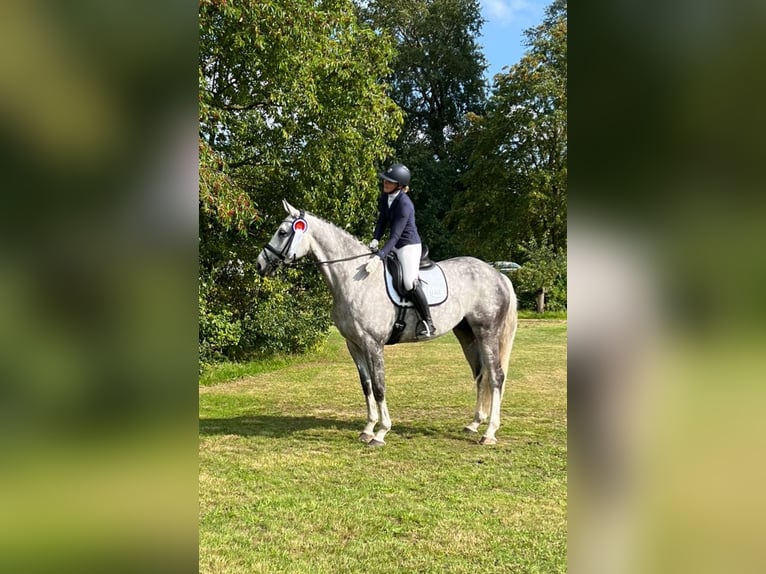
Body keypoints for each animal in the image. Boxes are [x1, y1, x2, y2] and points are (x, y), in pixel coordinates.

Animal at [255, 200, 520, 448]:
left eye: (282, 232)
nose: (260, 264)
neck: (355, 279)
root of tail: (498, 274)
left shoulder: (373, 343)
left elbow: (380, 386)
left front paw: (381, 433)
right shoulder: (354, 344)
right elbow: (367, 386)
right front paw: (367, 429)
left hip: (487, 332)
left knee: (496, 376)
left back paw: (489, 433)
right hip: (467, 333)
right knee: (481, 374)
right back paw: (474, 424)